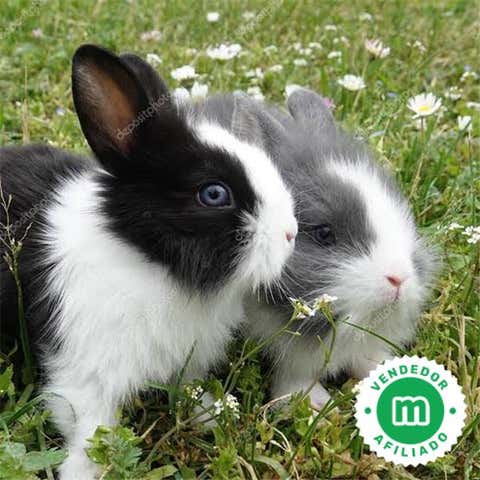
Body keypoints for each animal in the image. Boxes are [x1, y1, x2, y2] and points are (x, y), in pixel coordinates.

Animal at [0, 45, 298, 480]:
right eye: (214, 194)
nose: (291, 233)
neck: (149, 259)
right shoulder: (85, 372)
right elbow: (91, 428)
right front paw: (82, 471)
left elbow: (187, 390)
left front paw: (211, 415)